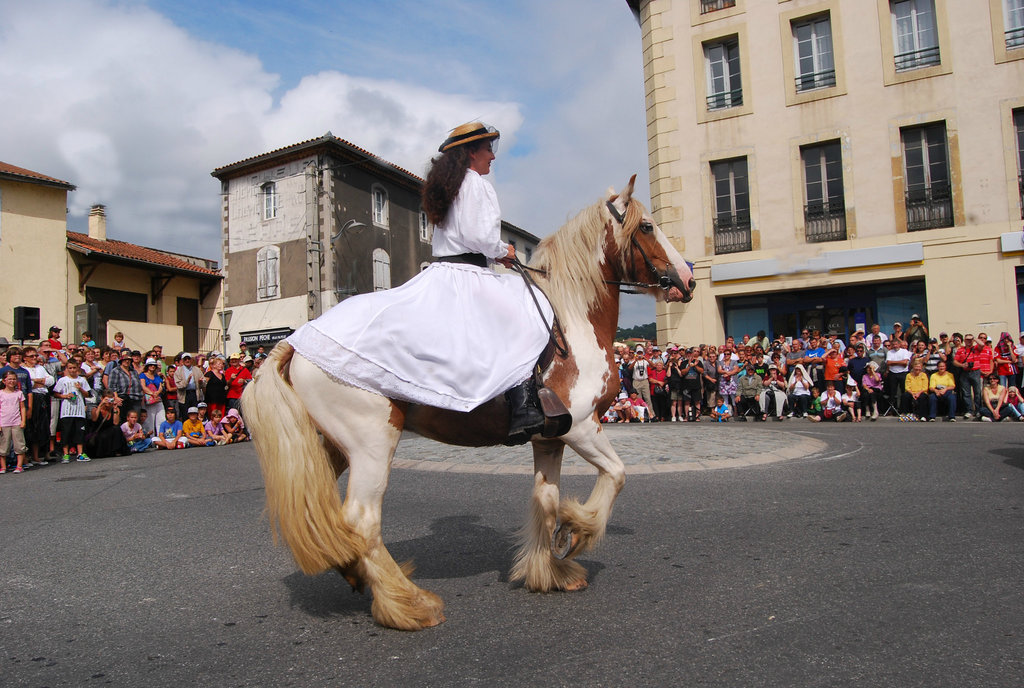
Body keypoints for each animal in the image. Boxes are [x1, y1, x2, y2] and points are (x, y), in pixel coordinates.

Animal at [243, 176, 700, 630]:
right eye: (647, 227)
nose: (688, 280)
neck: (570, 321)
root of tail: (297, 342)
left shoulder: (550, 439)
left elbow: (547, 500)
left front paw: (549, 571)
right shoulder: (583, 426)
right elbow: (616, 475)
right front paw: (577, 532)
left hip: (335, 446)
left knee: (332, 516)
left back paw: (356, 571)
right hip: (372, 444)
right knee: (362, 519)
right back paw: (408, 605)